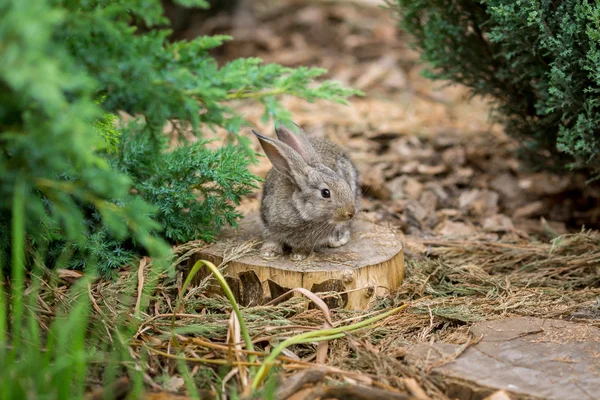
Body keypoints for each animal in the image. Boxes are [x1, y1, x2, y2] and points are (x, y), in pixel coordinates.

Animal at [251, 122, 358, 260]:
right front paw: (268, 252)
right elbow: (272, 239)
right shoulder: (269, 223)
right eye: (325, 193)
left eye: (345, 183)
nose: (351, 212)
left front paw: (299, 255)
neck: (298, 209)